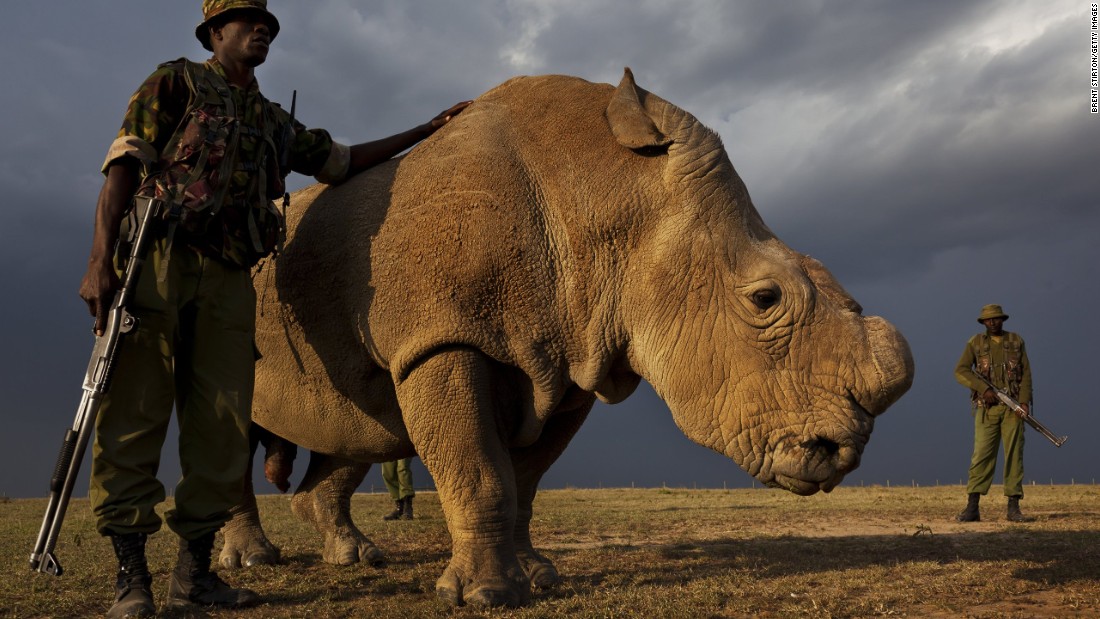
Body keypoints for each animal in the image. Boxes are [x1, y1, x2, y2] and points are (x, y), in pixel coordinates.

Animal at [218, 67, 915, 606]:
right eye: (764, 299)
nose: (842, 452)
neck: (607, 191)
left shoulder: (575, 357)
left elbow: (524, 480)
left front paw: (538, 579)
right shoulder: (443, 337)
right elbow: (481, 470)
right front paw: (483, 597)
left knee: (355, 426)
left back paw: (354, 556)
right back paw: (252, 563)